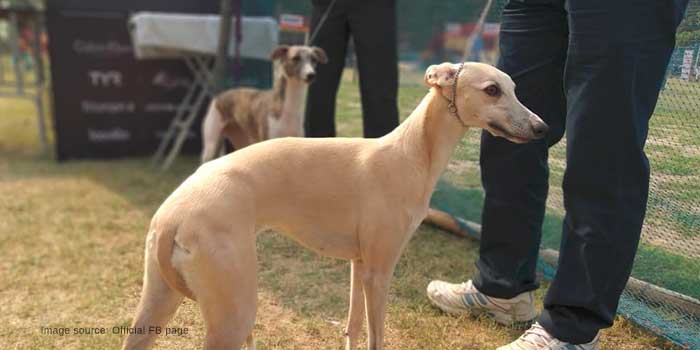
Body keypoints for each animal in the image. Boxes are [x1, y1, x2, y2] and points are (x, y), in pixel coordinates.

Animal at [121, 61, 548, 348]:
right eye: (492, 90)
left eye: (514, 88)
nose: (542, 128)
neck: (410, 153)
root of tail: (171, 216)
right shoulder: (379, 271)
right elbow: (376, 336)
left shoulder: (358, 266)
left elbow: (353, 327)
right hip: (233, 312)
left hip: (158, 301)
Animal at [198, 44, 326, 163]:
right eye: (295, 58)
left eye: (314, 59)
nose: (311, 75)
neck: (288, 109)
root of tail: (218, 97)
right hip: (211, 145)